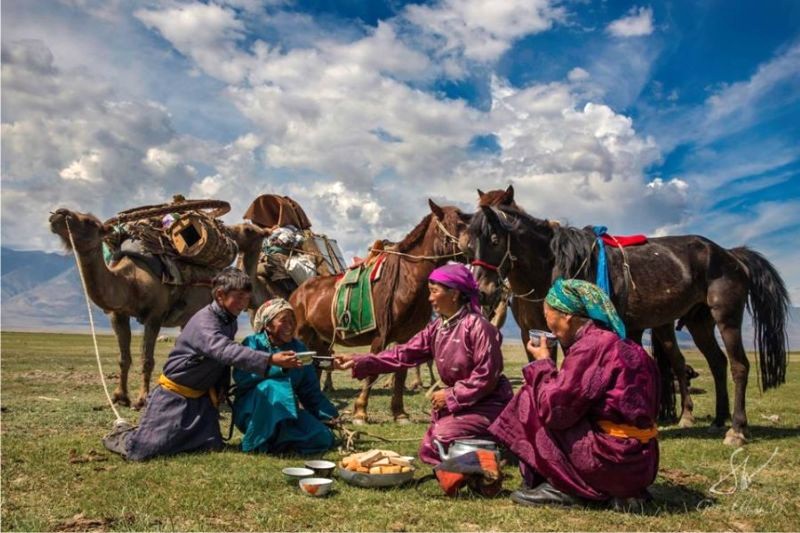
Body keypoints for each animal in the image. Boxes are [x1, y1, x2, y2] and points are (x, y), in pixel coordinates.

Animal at [50, 208, 268, 408]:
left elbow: (147, 359)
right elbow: (123, 358)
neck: (131, 281)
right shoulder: (118, 314)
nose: (58, 214)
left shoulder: (154, 315)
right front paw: (120, 397)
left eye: (89, 221)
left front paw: (142, 399)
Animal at [290, 200, 468, 424]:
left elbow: (401, 372)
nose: (473, 246)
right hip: (301, 334)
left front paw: (399, 413)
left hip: (319, 340)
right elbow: (372, 371)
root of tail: (297, 293)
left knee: (316, 367)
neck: (406, 280)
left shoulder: (405, 338)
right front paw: (360, 412)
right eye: (458, 224)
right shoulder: (380, 336)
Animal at [466, 202, 792, 446]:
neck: (557, 266)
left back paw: (736, 429)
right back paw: (716, 420)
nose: (482, 290)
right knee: (717, 363)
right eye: (470, 246)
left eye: (494, 241)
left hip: (727, 317)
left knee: (738, 366)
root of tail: (731, 255)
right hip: (699, 323)